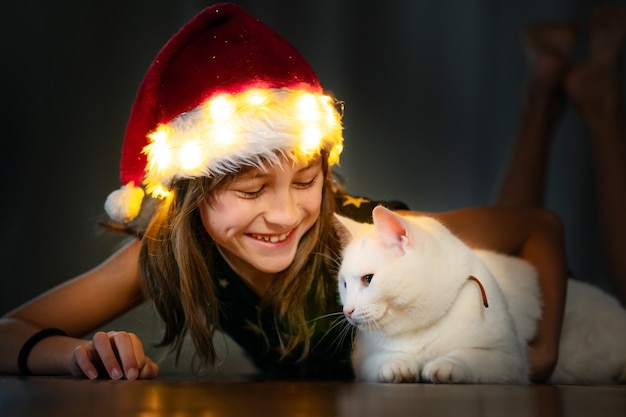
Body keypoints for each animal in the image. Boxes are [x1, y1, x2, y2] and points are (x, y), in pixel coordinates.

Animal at [336, 205, 626, 384]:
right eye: (344, 284)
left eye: (368, 279)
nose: (347, 311)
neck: (419, 330)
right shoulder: (361, 362)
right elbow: (379, 361)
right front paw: (398, 365)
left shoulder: (508, 360)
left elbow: (468, 357)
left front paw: (446, 366)